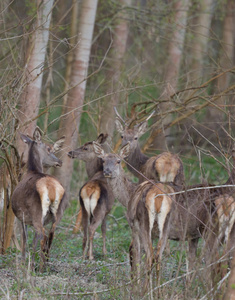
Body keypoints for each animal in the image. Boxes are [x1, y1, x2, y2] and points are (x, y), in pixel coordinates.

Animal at [11, 127, 67, 270]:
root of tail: (51, 187)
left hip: (36, 211)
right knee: (51, 235)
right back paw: (46, 264)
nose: (59, 161)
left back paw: (40, 267)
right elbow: (33, 240)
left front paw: (24, 262)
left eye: (53, 148)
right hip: (57, 213)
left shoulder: (22, 217)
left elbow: (25, 239)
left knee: (43, 236)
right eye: (49, 148)